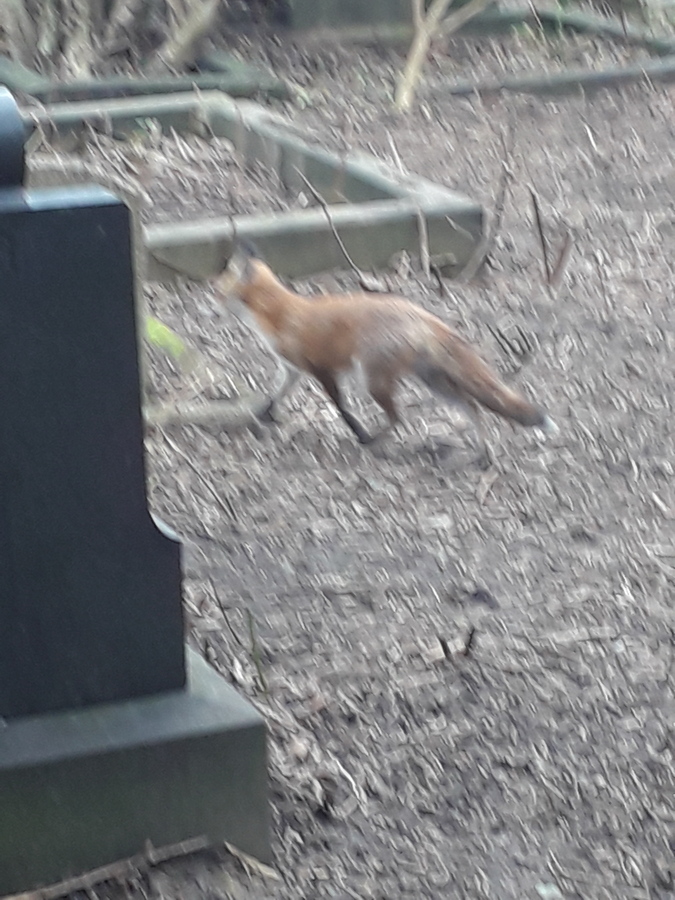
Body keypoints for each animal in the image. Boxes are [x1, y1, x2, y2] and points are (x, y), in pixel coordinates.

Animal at [212, 242, 557, 452]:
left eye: (217, 290)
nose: (210, 305)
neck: (281, 315)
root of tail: (418, 312)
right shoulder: (292, 370)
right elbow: (275, 395)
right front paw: (264, 415)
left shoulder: (323, 369)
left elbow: (343, 408)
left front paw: (359, 433)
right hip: (433, 382)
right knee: (472, 407)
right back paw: (483, 452)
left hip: (373, 380)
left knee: (399, 418)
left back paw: (376, 441)